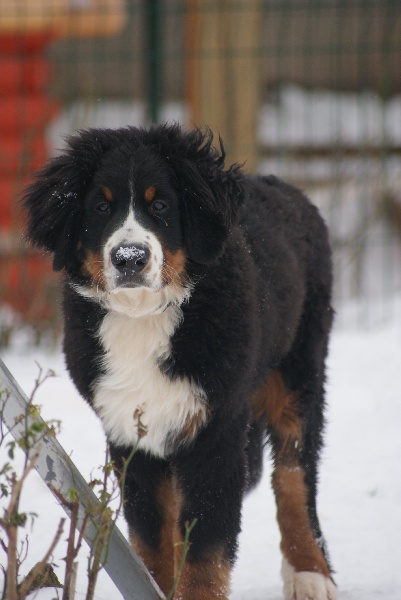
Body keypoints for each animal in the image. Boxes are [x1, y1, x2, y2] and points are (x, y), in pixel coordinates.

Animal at [23, 125, 336, 600]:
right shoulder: (130, 435)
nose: (129, 258)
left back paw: (309, 572)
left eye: (161, 206)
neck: (143, 317)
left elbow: (205, 551)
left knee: (294, 474)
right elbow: (154, 541)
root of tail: (283, 187)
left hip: (298, 369)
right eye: (100, 206)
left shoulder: (215, 432)